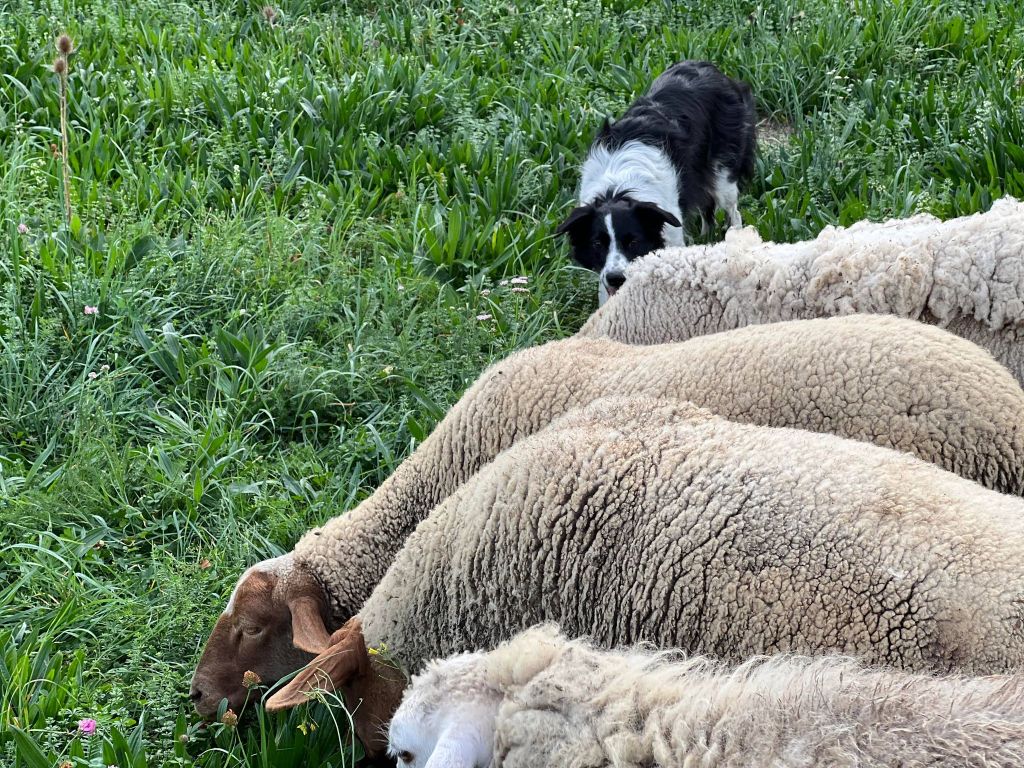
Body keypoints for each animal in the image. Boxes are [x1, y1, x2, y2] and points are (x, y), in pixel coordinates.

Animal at [557, 61, 757, 305]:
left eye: (633, 242)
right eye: (597, 244)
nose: (616, 278)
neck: (618, 191)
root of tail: (711, 68)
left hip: (723, 175)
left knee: (732, 212)